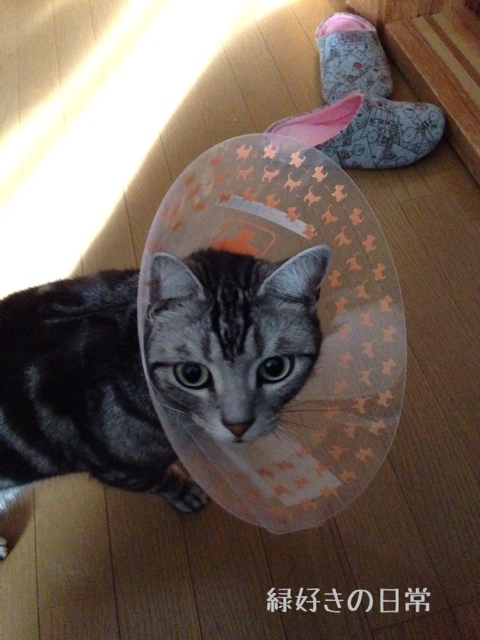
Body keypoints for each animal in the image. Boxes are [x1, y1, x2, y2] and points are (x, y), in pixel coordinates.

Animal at [0, 245, 330, 559]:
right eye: (192, 374)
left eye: (274, 368)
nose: (238, 425)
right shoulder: (119, 470)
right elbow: (161, 481)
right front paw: (186, 493)